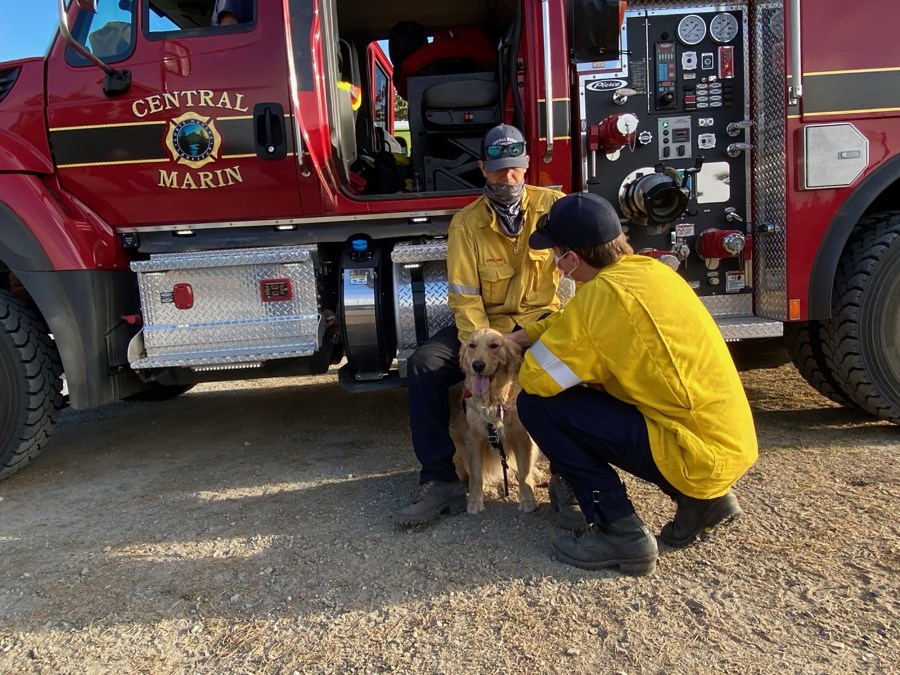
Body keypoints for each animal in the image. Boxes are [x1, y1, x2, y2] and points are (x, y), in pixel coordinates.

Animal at [454, 328, 536, 512]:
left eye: (494, 346)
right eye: (472, 345)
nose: (477, 365)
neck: (493, 400)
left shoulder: (521, 435)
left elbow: (524, 471)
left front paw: (528, 500)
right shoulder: (475, 437)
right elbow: (476, 473)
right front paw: (475, 501)